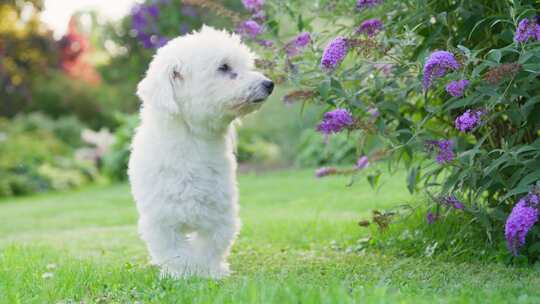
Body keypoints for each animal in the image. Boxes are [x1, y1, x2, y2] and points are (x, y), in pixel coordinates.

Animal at [127, 25, 274, 280]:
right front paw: (182, 274)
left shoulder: (220, 216)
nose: (269, 83)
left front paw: (210, 272)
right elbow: (176, 253)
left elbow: (210, 247)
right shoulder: (162, 221)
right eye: (223, 67)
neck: (193, 140)